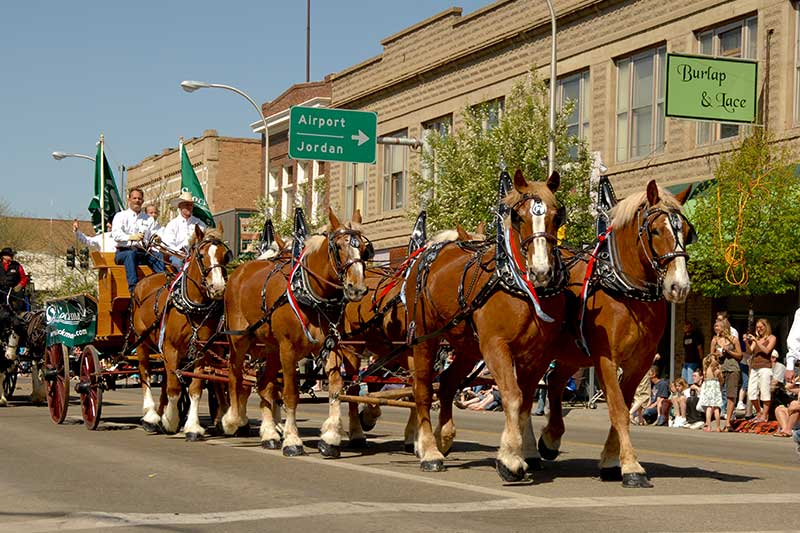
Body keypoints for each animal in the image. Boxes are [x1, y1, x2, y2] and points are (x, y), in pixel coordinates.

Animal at [131, 224, 231, 436]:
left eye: (225, 255)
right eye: (201, 255)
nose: (218, 288)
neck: (191, 306)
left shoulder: (202, 350)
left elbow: (195, 387)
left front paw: (192, 426)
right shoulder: (171, 348)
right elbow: (175, 387)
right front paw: (170, 420)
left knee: (164, 378)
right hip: (142, 342)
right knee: (145, 373)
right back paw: (151, 416)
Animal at [222, 208, 372, 458]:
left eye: (363, 248)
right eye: (338, 247)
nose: (357, 288)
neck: (310, 295)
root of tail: (238, 271)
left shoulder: (332, 346)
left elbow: (336, 388)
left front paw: (330, 438)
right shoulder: (289, 349)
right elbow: (291, 394)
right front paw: (292, 440)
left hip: (271, 348)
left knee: (263, 385)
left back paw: (269, 434)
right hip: (240, 339)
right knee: (235, 376)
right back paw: (234, 420)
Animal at [404, 171, 564, 482]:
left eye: (557, 215)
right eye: (518, 217)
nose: (541, 271)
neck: (516, 285)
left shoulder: (537, 354)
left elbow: (526, 402)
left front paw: (525, 452)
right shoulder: (495, 346)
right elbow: (512, 397)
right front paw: (510, 459)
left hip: (466, 347)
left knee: (447, 382)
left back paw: (444, 437)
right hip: (425, 339)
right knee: (423, 391)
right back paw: (429, 450)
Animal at [540, 180, 696, 486]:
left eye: (685, 231)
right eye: (656, 230)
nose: (679, 286)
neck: (626, 290)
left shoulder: (640, 363)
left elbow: (624, 406)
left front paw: (612, 461)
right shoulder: (606, 359)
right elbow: (618, 409)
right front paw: (632, 467)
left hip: (572, 354)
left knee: (553, 383)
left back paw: (549, 440)